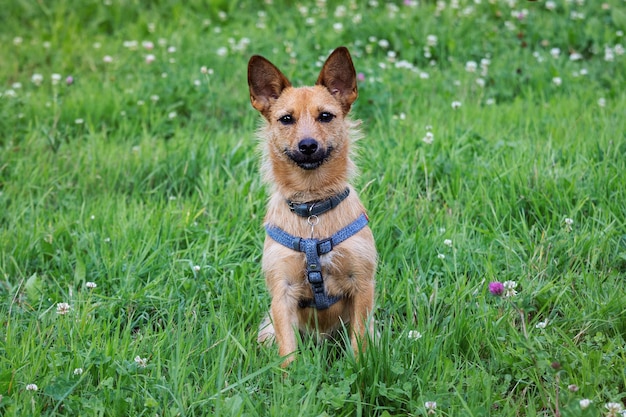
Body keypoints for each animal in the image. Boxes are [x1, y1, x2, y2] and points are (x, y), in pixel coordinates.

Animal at [246, 46, 376, 364]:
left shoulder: (363, 285)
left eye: (326, 116)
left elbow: (359, 343)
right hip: (267, 328)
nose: (307, 145)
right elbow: (288, 353)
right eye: (286, 119)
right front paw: (292, 375)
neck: (312, 208)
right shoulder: (282, 292)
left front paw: (359, 369)